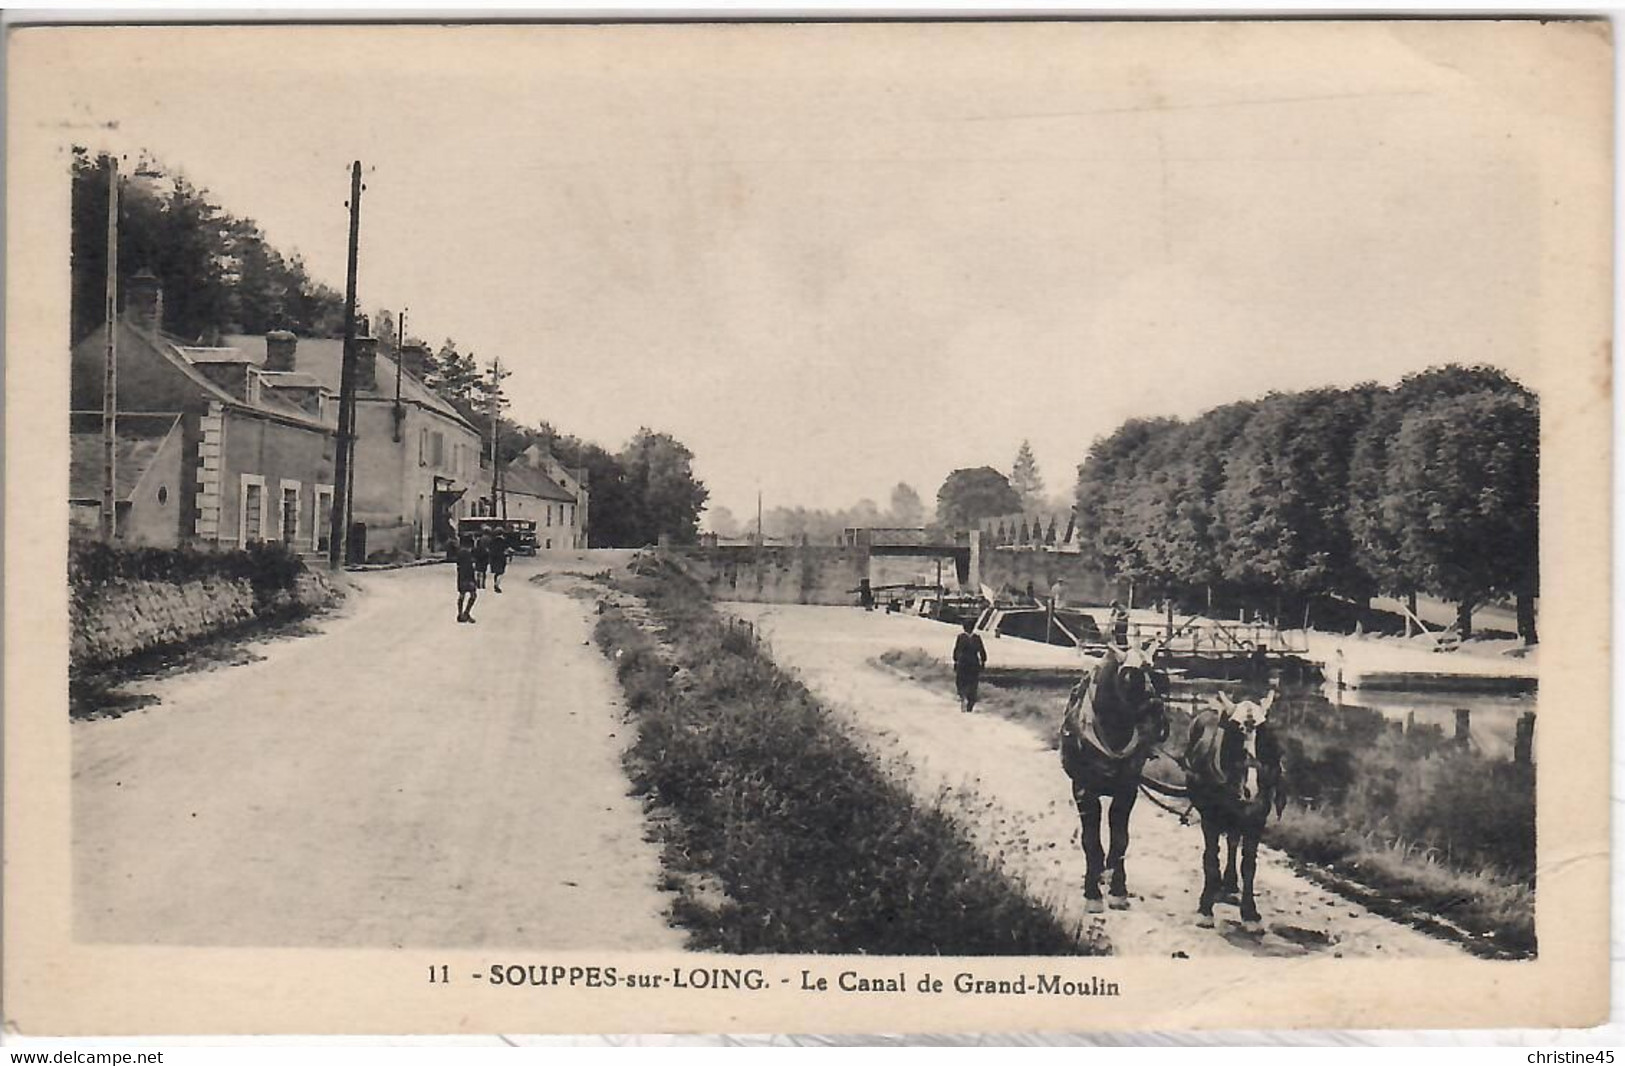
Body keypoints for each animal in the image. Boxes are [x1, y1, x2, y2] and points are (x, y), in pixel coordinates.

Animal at [1053, 646, 1170, 910]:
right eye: (1129, 676)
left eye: (1157, 675)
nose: (1158, 710)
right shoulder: (1083, 790)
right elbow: (1090, 839)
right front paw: (1092, 891)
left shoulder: (1127, 791)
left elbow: (1120, 840)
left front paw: (1118, 889)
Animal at [1183, 692, 1280, 923]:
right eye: (1236, 731)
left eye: (1264, 733)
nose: (1251, 788)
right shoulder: (1210, 818)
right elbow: (1211, 856)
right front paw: (1206, 905)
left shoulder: (1257, 819)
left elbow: (1249, 864)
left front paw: (1250, 910)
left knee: (1233, 842)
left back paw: (1230, 882)